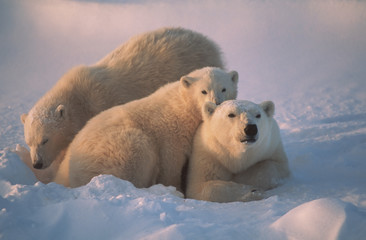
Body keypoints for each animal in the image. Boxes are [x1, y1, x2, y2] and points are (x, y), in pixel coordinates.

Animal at [20, 27, 226, 182]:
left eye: (45, 139)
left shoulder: (102, 103)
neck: (79, 98)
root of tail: (208, 42)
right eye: (29, 141)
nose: (37, 163)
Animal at [53, 67, 237, 191]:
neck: (182, 107)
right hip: (115, 149)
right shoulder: (170, 135)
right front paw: (176, 189)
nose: (217, 102)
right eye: (203, 91)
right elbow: (171, 165)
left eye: (224, 88)